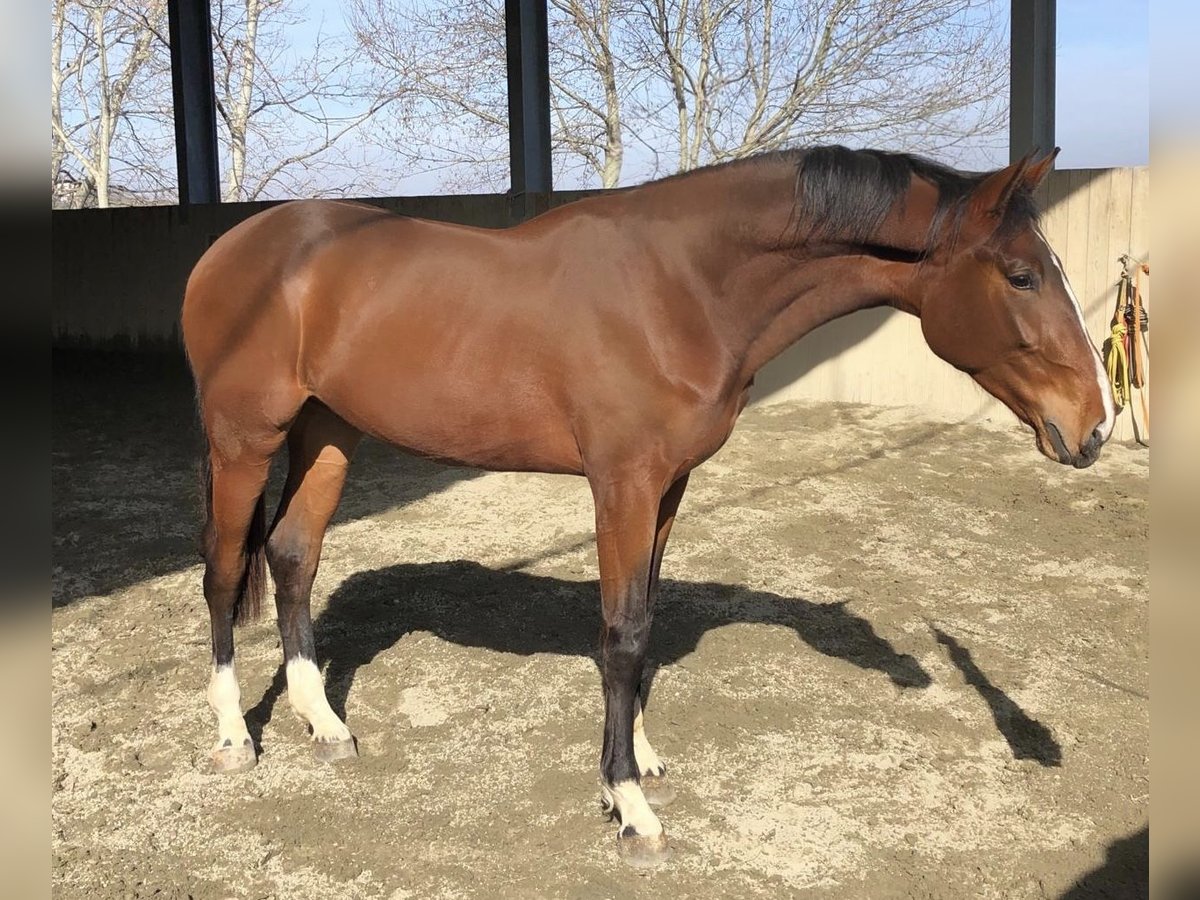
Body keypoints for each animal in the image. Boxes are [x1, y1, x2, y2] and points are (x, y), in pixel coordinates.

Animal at [181, 145, 1114, 867]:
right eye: (1022, 276)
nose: (1095, 426)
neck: (682, 287)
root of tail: (234, 246)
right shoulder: (622, 483)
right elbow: (622, 634)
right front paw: (630, 809)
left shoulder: (668, 486)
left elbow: (645, 623)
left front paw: (637, 760)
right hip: (243, 440)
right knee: (224, 572)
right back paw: (233, 738)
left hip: (327, 431)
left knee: (294, 556)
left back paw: (324, 723)